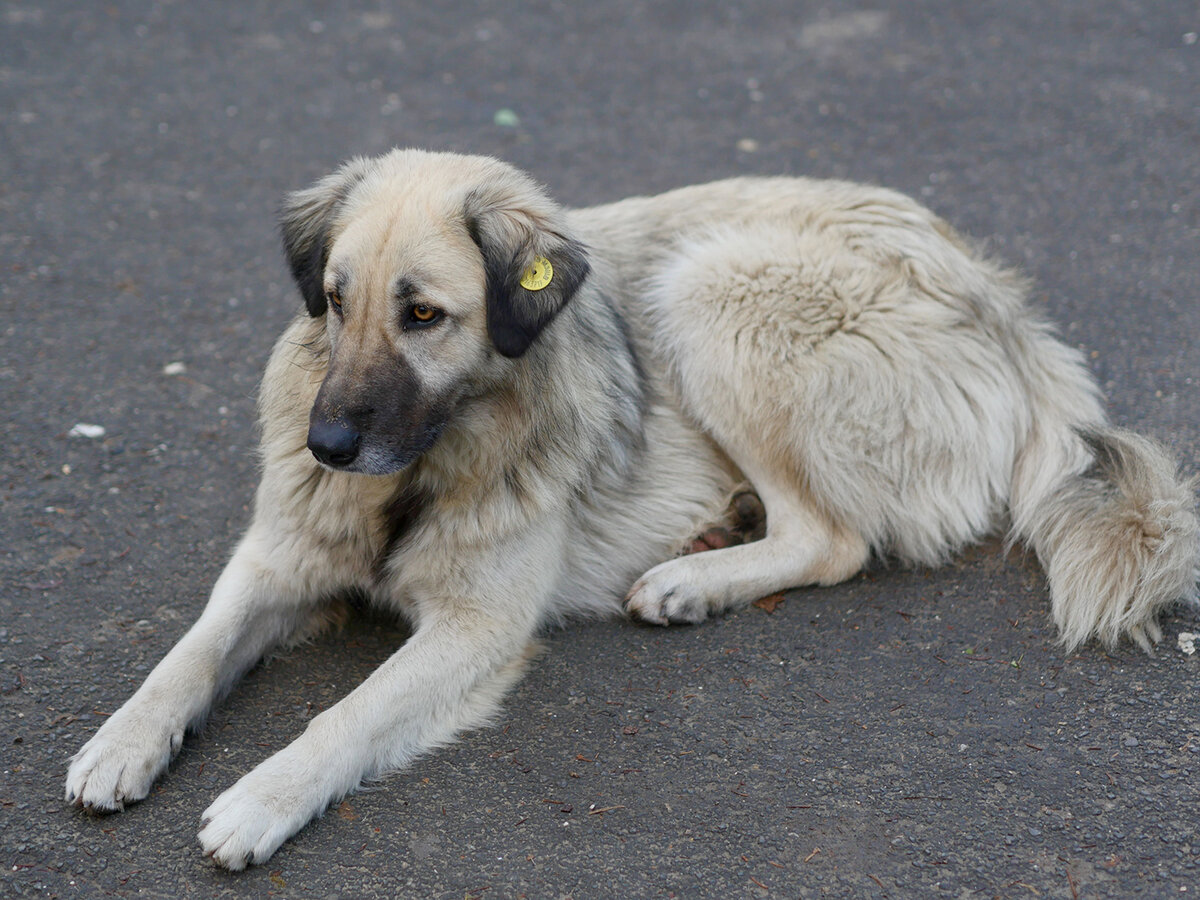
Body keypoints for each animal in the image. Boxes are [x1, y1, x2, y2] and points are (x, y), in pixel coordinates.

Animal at [65, 151, 1200, 868]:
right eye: (335, 301)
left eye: (422, 314)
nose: (327, 447)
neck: (428, 464)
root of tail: (1001, 303)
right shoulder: (274, 561)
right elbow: (189, 655)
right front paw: (121, 742)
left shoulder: (475, 630)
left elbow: (344, 714)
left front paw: (262, 797)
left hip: (713, 289)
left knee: (833, 538)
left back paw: (692, 579)